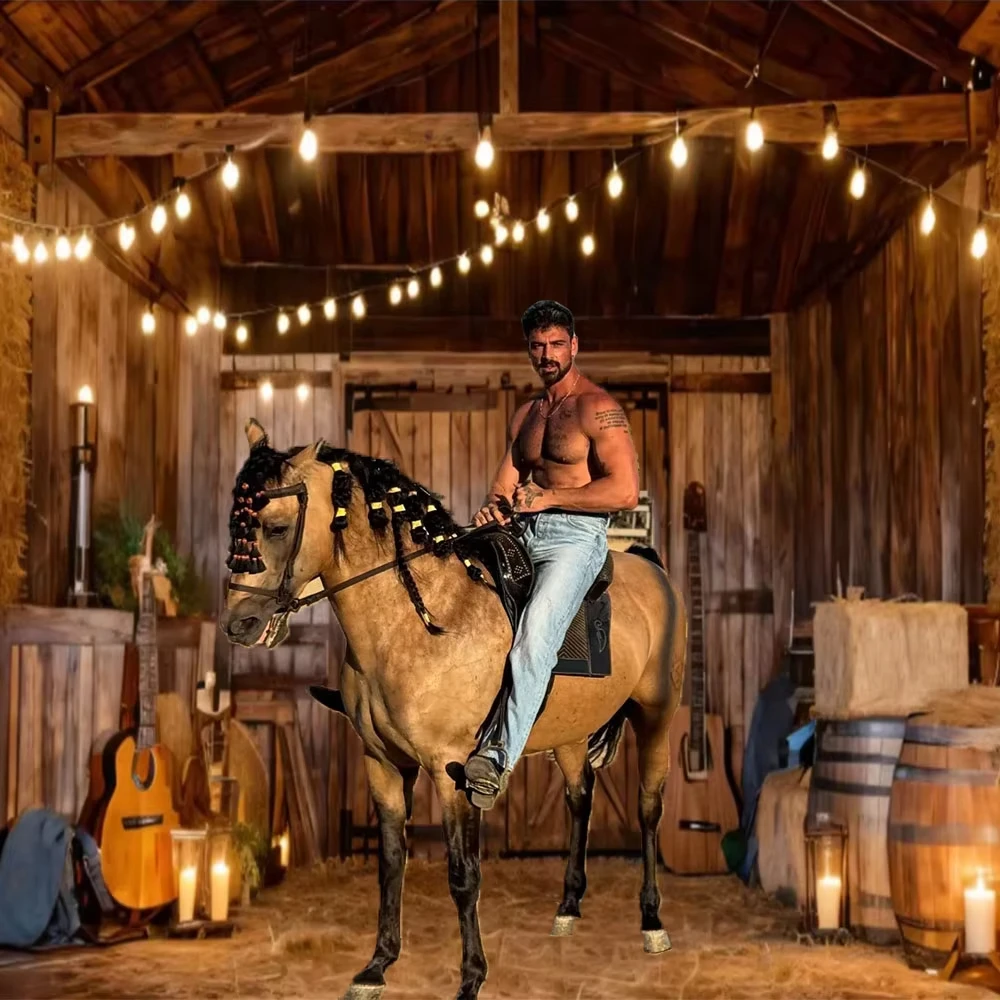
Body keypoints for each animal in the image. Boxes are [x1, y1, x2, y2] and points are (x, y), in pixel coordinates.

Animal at [219, 420, 688, 1000]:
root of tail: (649, 565)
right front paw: (377, 965)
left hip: (657, 718)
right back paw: (568, 908)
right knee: (581, 799)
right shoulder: (383, 765)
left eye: (277, 526)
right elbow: (390, 864)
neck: (423, 622)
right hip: (572, 735)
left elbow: (464, 874)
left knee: (648, 809)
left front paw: (470, 978)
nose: (237, 623)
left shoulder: (452, 771)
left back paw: (652, 922)